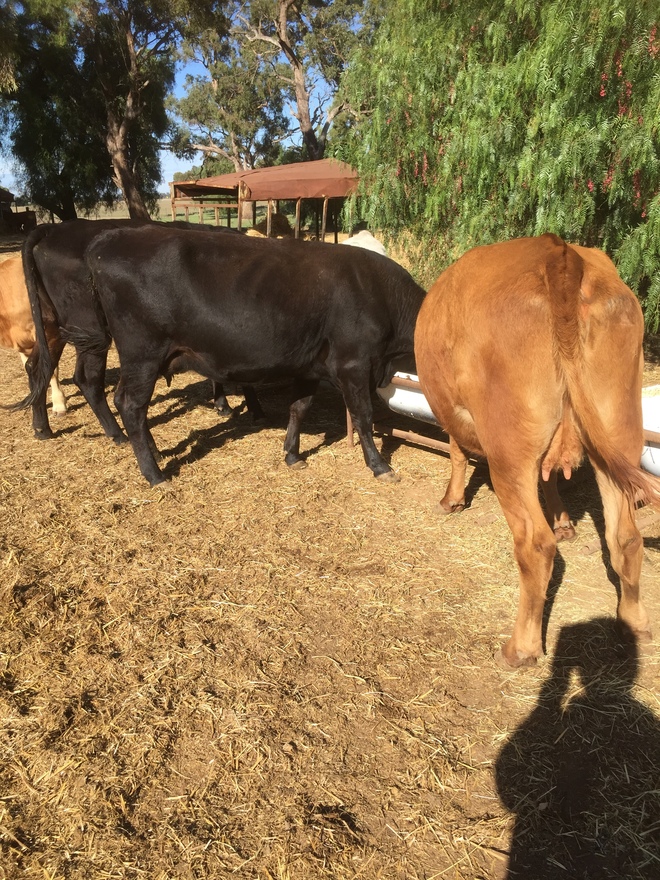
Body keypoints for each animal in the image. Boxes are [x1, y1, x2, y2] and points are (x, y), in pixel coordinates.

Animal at [75, 225, 426, 486]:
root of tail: (107, 240)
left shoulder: (310, 365)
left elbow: (299, 408)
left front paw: (292, 455)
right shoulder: (354, 364)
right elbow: (363, 416)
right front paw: (379, 466)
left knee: (129, 403)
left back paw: (157, 454)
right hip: (143, 354)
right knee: (130, 405)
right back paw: (154, 474)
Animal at [414, 233, 660, 668]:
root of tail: (558, 252)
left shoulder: (454, 413)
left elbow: (457, 451)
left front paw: (451, 500)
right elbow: (552, 478)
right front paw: (563, 521)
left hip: (509, 454)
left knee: (535, 546)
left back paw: (521, 648)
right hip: (618, 432)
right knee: (626, 536)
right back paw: (634, 621)